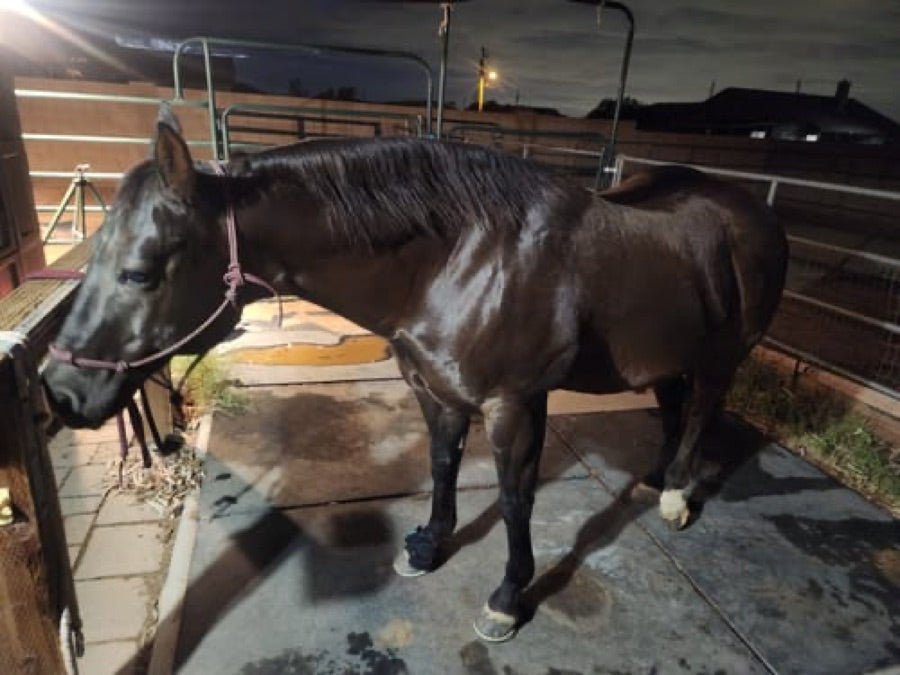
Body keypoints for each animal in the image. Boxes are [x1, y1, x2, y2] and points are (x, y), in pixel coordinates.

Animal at [43, 106, 787, 642]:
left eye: (139, 272)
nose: (60, 391)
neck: (463, 257)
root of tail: (754, 210)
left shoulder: (515, 404)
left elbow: (516, 500)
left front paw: (509, 597)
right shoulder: (436, 391)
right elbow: (441, 465)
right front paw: (429, 545)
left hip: (724, 356)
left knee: (701, 413)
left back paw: (679, 496)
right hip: (670, 351)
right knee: (674, 408)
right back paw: (660, 479)